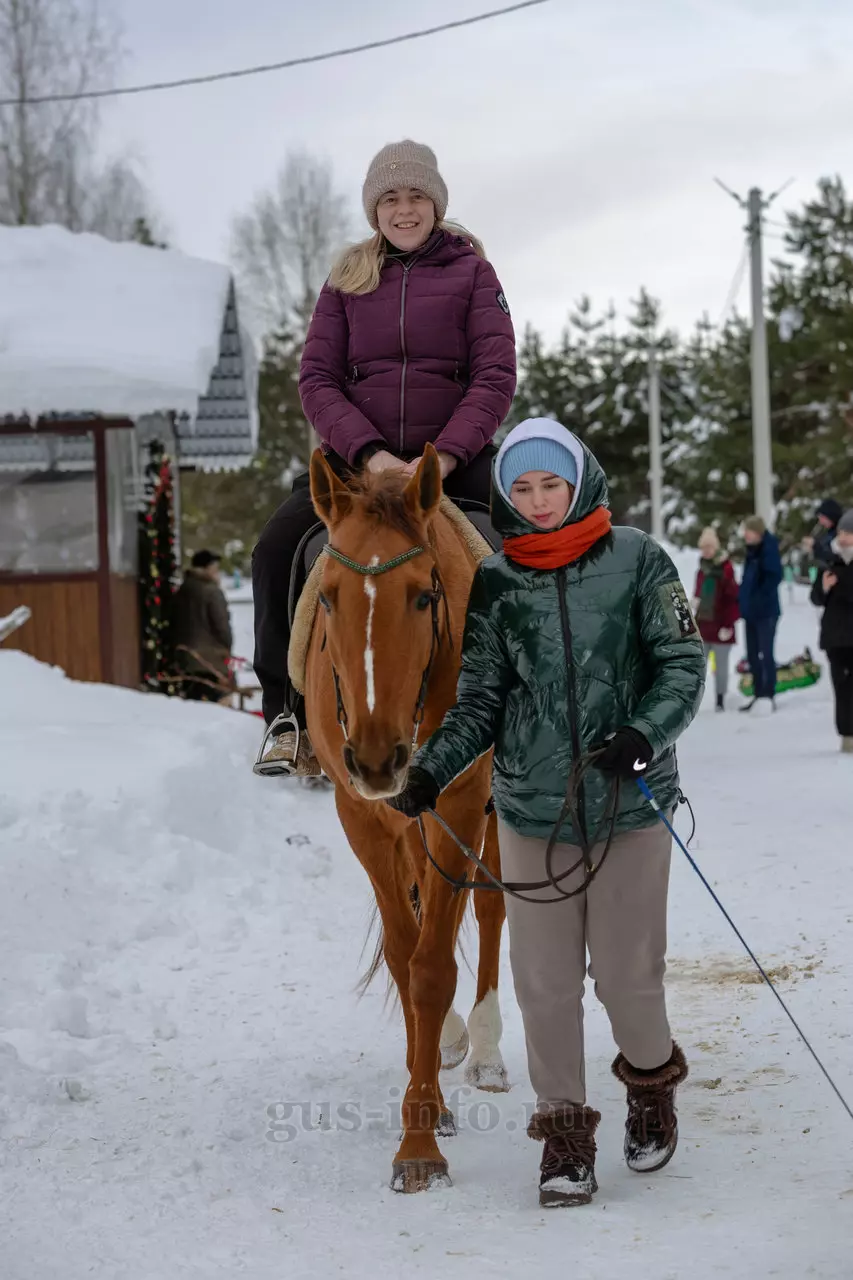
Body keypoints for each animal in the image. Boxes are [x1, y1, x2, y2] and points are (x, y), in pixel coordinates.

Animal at [305, 444, 509, 1193]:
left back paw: (483, 1050)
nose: (375, 757)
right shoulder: (361, 817)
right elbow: (402, 954)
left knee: (490, 910)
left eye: (423, 595)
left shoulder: (460, 801)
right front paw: (428, 1103)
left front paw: (418, 1144)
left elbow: (431, 968)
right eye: (329, 596)